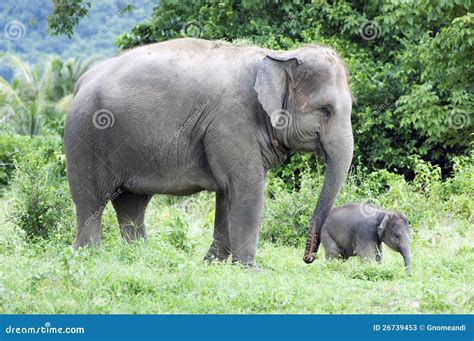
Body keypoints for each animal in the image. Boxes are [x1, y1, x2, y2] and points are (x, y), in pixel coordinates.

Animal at [64, 37, 352, 266]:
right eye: (325, 110)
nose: (308, 258)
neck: (277, 55)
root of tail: (81, 82)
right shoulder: (232, 121)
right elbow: (246, 186)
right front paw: (250, 269)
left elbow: (227, 193)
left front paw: (212, 263)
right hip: (86, 135)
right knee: (91, 201)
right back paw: (88, 256)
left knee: (132, 203)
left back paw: (141, 257)